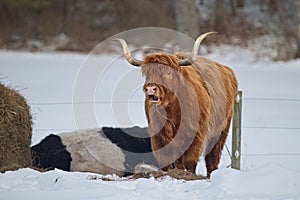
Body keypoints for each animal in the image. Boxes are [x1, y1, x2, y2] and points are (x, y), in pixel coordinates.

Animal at [116, 32, 238, 177]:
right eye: (147, 73)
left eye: (168, 73)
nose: (151, 89)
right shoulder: (159, 138)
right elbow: (168, 163)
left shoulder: (196, 135)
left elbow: (190, 162)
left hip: (221, 132)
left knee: (212, 157)